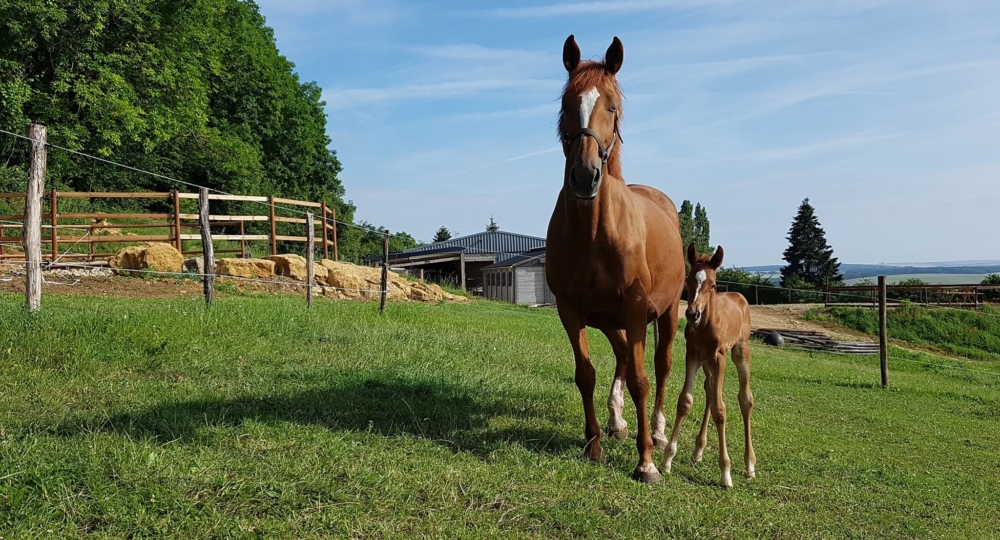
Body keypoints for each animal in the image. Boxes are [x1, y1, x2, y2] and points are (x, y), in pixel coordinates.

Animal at [664, 245, 756, 490]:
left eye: (713, 284)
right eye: (688, 280)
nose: (692, 313)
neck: (705, 324)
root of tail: (739, 296)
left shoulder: (719, 357)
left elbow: (720, 410)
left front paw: (726, 472)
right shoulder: (693, 353)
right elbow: (685, 401)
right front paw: (667, 459)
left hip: (740, 351)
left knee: (745, 399)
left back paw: (749, 466)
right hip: (706, 363)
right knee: (709, 390)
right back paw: (698, 452)